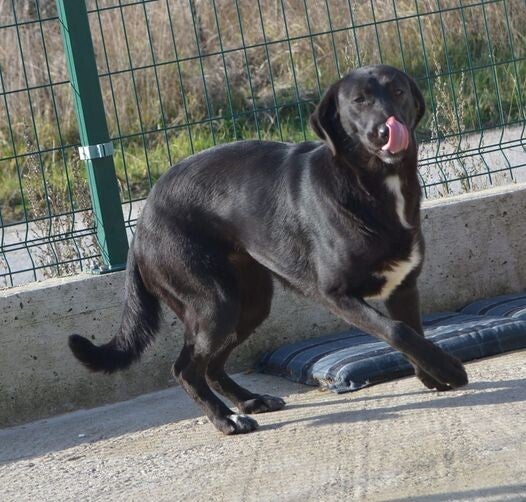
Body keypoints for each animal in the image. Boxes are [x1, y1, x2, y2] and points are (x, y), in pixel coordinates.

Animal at [69, 65, 468, 435]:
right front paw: (450, 368)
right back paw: (226, 419)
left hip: (249, 304)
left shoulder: (403, 286)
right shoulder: (336, 294)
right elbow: (397, 332)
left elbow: (412, 332)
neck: (372, 183)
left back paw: (249, 400)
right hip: (213, 303)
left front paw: (433, 374)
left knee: (212, 365)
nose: (384, 130)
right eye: (358, 101)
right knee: (184, 368)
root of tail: (141, 224)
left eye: (398, 91)